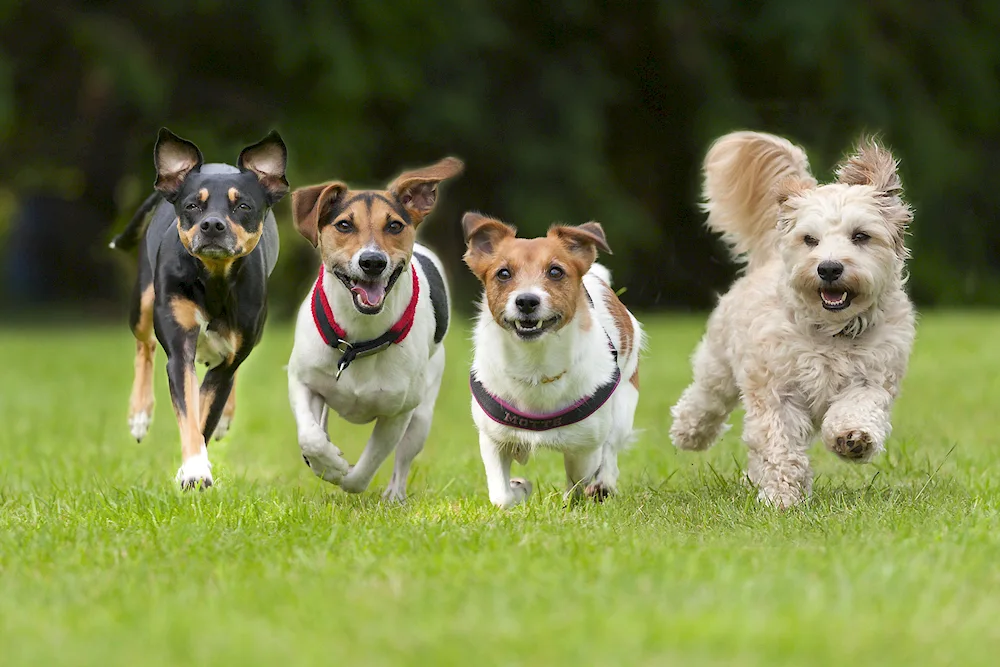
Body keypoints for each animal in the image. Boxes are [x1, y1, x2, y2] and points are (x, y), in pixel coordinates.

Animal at [111, 128, 288, 488]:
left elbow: (206, 415)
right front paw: (194, 468)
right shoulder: (180, 350)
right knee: (144, 345)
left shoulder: (228, 361)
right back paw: (139, 414)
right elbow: (190, 413)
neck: (213, 280)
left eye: (243, 206)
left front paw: (194, 467)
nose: (212, 225)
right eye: (193, 205)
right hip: (143, 302)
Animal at [286, 158, 464, 500]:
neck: (358, 341)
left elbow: (364, 470)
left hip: (422, 414)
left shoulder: (398, 413)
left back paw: (394, 496)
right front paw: (328, 462)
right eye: (344, 225)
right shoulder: (302, 380)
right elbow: (310, 437)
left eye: (394, 225)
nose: (372, 261)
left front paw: (342, 473)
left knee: (403, 459)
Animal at [460, 214, 640, 506]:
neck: (535, 363)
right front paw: (518, 489)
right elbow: (501, 496)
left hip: (624, 404)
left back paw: (603, 484)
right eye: (503, 273)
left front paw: (573, 498)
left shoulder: (584, 447)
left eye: (555, 271)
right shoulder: (493, 439)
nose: (526, 301)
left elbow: (578, 481)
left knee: (611, 449)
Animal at [668, 129, 916, 506]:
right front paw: (782, 497)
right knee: (706, 396)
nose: (829, 267)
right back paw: (689, 431)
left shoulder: (873, 378)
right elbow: (778, 444)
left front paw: (853, 437)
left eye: (860, 236)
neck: (830, 334)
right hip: (720, 362)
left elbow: (858, 407)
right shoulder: (776, 391)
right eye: (809, 239)